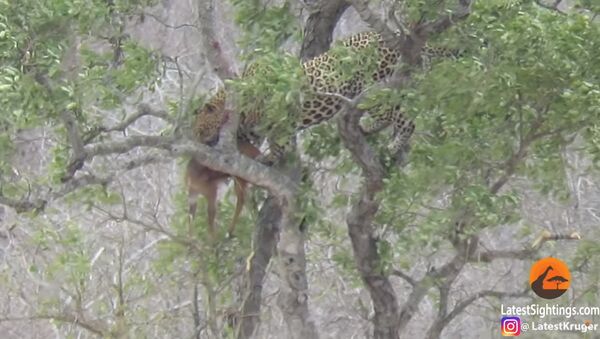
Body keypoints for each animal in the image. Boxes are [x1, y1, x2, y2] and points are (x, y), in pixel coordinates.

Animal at [193, 31, 460, 164]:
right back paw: (388, 143)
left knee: (394, 116)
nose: (199, 141)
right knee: (404, 118)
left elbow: (277, 138)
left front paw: (271, 156)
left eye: (200, 129)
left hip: (373, 85)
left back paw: (376, 133)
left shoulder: (280, 114)